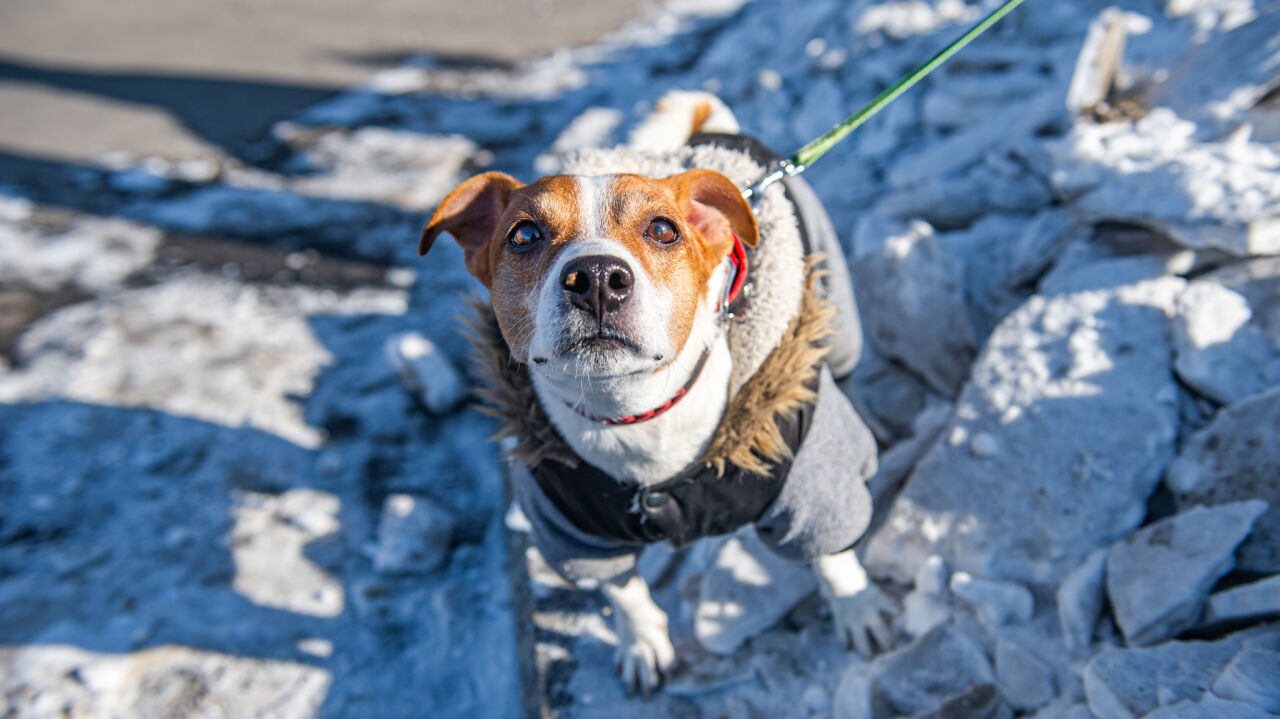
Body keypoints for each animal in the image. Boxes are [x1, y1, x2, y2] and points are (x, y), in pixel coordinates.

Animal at [419, 92, 890, 690]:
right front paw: (643, 644)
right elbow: (622, 591)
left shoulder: (812, 488)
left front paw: (860, 611)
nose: (596, 276)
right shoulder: (571, 531)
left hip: (840, 316)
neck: (635, 415)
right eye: (523, 235)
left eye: (664, 229)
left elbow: (833, 558)